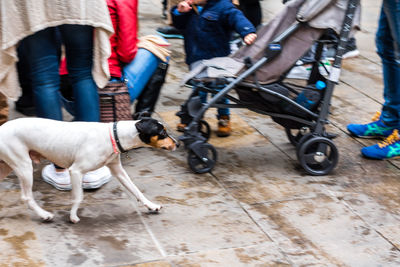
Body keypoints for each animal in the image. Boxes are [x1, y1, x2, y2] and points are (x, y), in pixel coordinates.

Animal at [0, 118, 178, 223]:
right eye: (162, 132)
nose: (178, 143)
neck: (114, 136)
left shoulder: (118, 170)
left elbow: (136, 190)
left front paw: (151, 206)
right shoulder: (76, 171)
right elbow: (78, 197)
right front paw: (73, 216)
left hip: (6, 167)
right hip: (24, 166)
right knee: (26, 197)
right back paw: (44, 215)